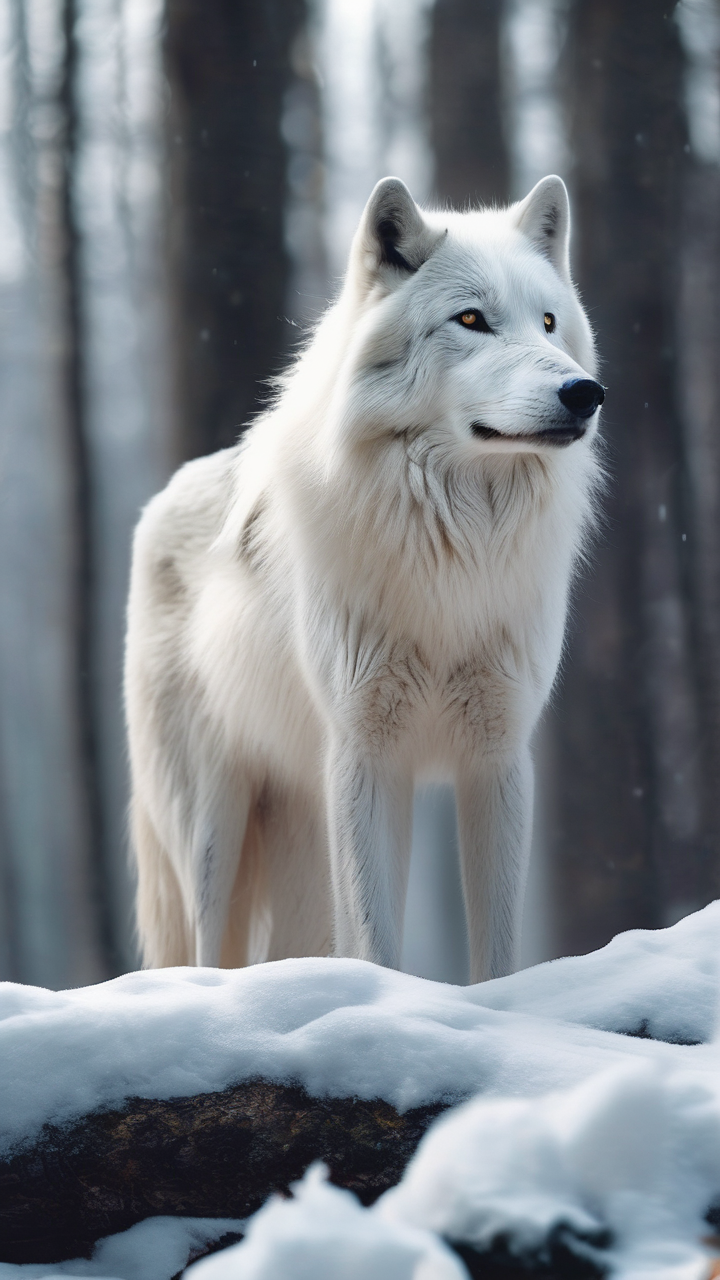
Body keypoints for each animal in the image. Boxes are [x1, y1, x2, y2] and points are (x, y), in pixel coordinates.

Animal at [125, 174, 603, 983]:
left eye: (547, 323)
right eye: (471, 319)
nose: (584, 392)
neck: (452, 553)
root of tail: (161, 498)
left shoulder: (499, 756)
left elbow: (498, 950)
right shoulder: (367, 755)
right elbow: (376, 939)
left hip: (299, 844)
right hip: (211, 837)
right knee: (208, 953)